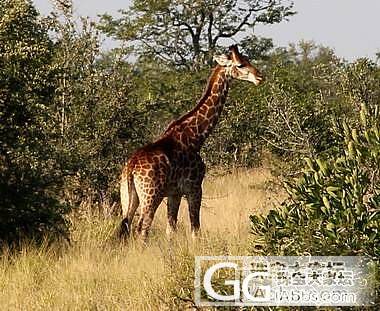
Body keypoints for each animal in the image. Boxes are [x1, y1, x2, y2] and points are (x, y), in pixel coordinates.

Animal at [119, 45, 262, 243]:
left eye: (248, 59)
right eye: (240, 64)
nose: (259, 77)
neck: (196, 137)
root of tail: (131, 168)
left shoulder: (174, 193)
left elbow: (171, 230)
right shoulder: (194, 188)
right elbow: (195, 228)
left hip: (128, 197)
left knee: (125, 226)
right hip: (151, 196)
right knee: (142, 228)